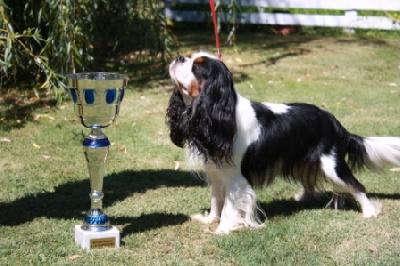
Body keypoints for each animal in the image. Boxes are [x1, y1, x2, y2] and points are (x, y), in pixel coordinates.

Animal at [165, 51, 400, 234]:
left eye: (197, 67)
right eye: (190, 57)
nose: (179, 57)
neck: (217, 112)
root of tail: (336, 124)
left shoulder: (235, 178)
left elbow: (229, 207)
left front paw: (223, 229)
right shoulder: (217, 172)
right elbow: (216, 200)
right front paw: (210, 220)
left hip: (332, 166)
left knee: (356, 185)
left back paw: (369, 212)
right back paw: (302, 197)